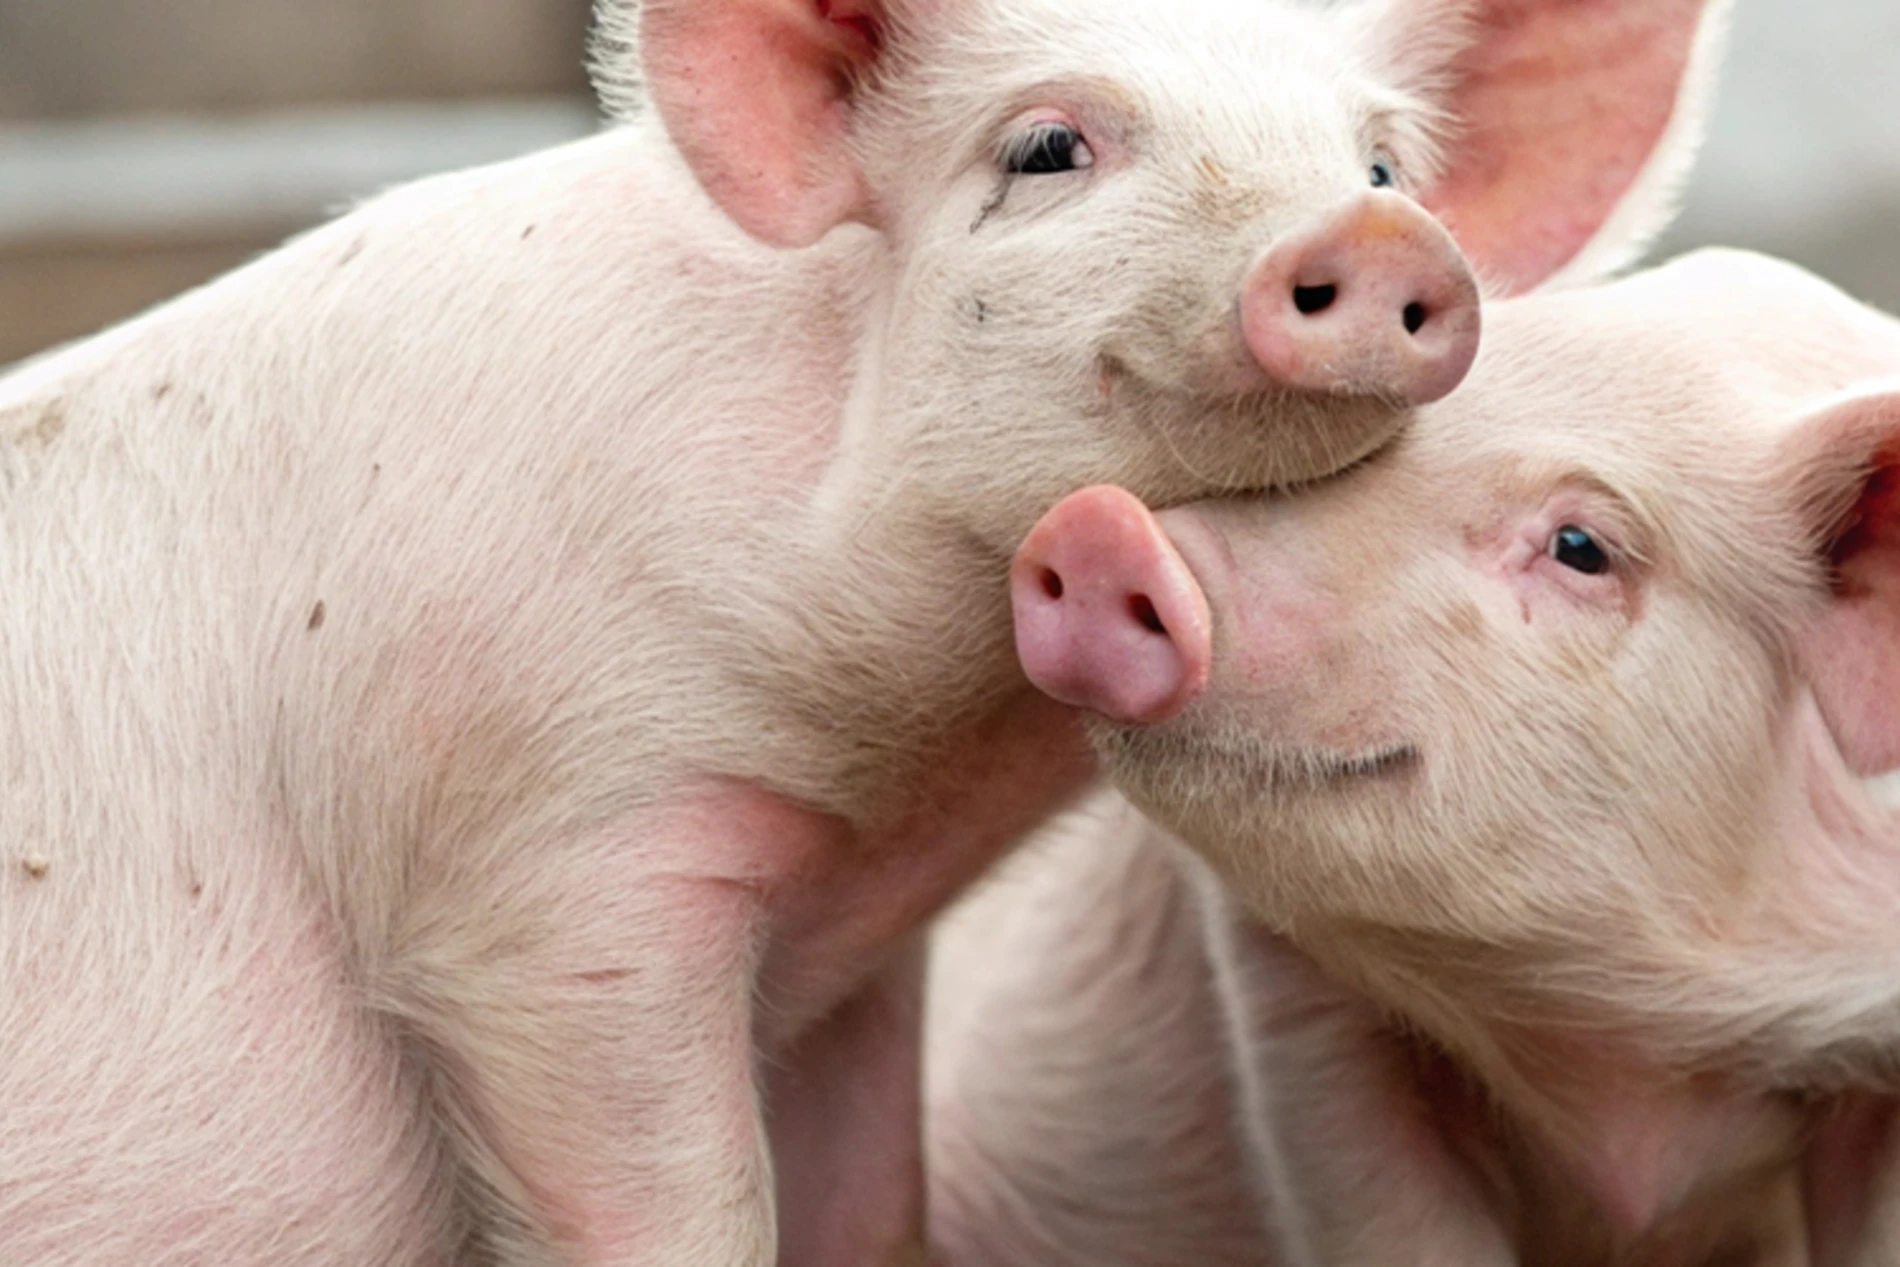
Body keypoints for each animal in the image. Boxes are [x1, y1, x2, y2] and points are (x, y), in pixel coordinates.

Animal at [0, 0, 1724, 1263]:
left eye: (1380, 167)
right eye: (1047, 146)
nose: (1373, 241)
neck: (914, 763)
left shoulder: (850, 956)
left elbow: (865, 1204)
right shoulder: (534, 868)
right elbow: (683, 1206)